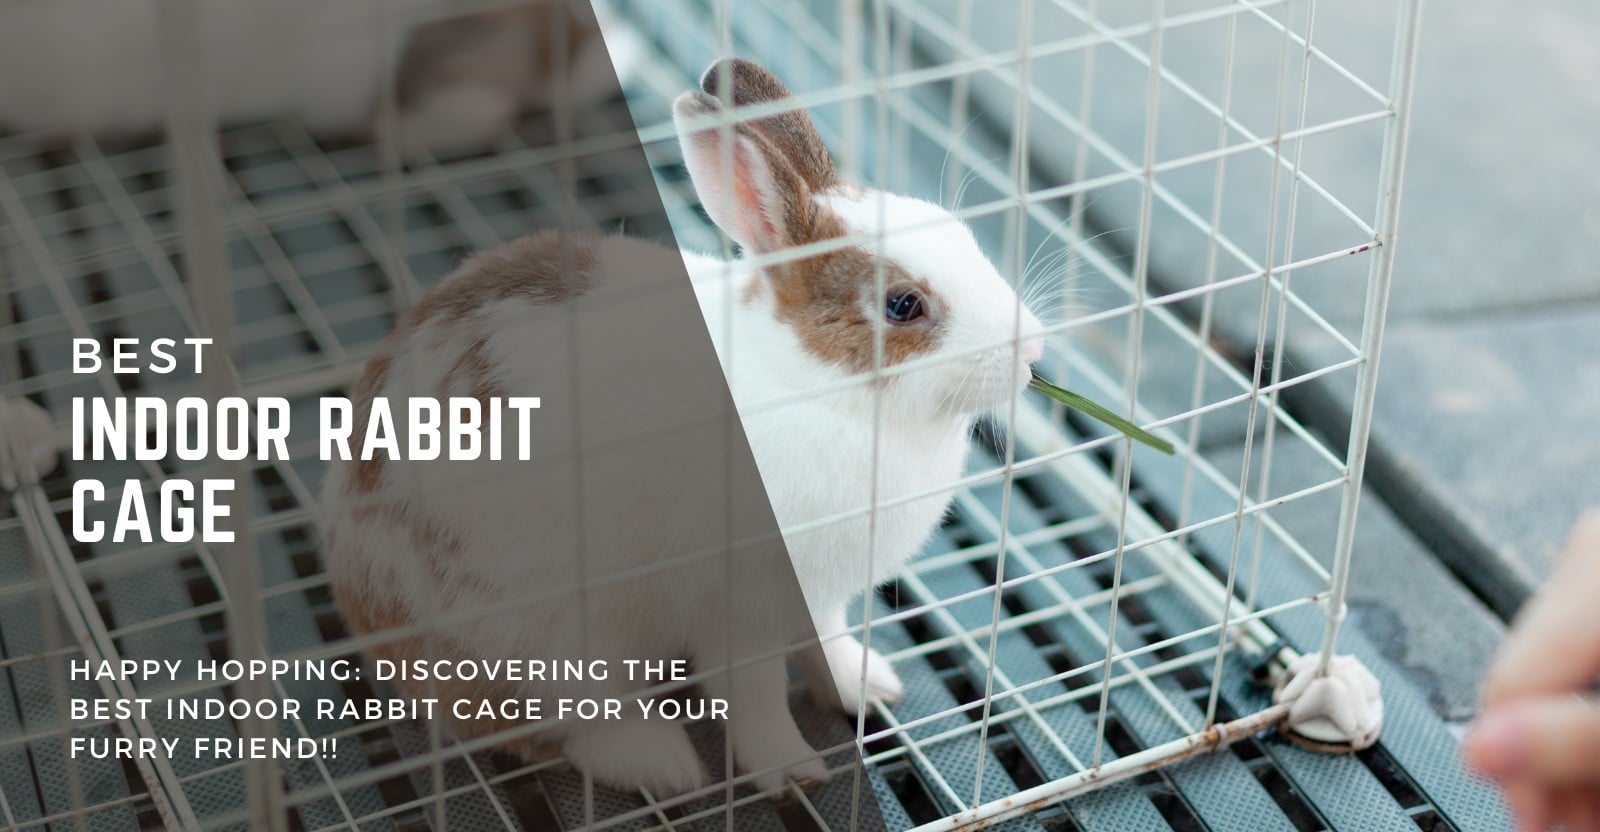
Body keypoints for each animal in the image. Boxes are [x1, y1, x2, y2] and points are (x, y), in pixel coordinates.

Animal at [319, 58, 1045, 797]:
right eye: (902, 305)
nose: (1033, 349)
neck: (815, 386)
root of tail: (364, 612)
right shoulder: (740, 610)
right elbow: (754, 695)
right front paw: (790, 770)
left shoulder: (818, 600)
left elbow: (828, 647)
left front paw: (868, 687)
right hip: (538, 641)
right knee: (562, 726)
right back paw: (663, 762)